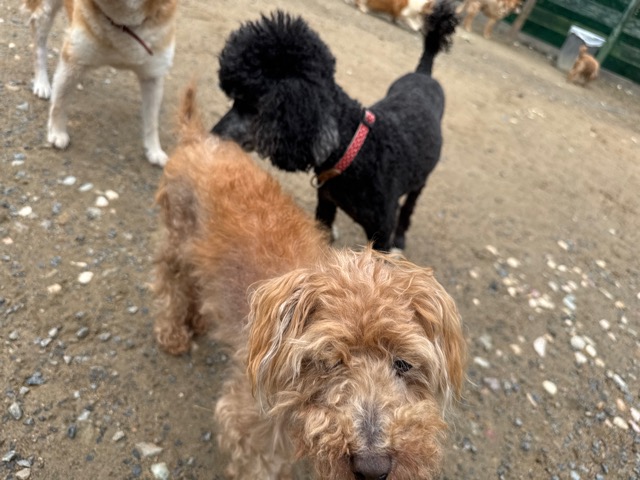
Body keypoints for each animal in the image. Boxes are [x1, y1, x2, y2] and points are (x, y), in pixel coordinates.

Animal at [21, 0, 177, 166]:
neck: (123, 22)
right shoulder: (72, 60)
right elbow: (59, 104)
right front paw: (57, 132)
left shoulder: (153, 76)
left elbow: (152, 122)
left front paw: (154, 150)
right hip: (45, 13)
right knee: (39, 46)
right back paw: (41, 82)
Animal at [154, 85, 466, 479]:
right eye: (329, 361)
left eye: (403, 364)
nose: (373, 468)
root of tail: (197, 138)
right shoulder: (252, 426)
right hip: (175, 237)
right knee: (168, 283)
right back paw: (173, 333)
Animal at [212, 3, 458, 252]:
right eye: (235, 99)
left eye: (254, 106)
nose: (214, 135)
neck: (354, 151)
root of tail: (423, 73)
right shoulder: (326, 204)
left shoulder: (381, 229)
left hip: (421, 181)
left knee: (409, 207)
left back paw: (400, 238)